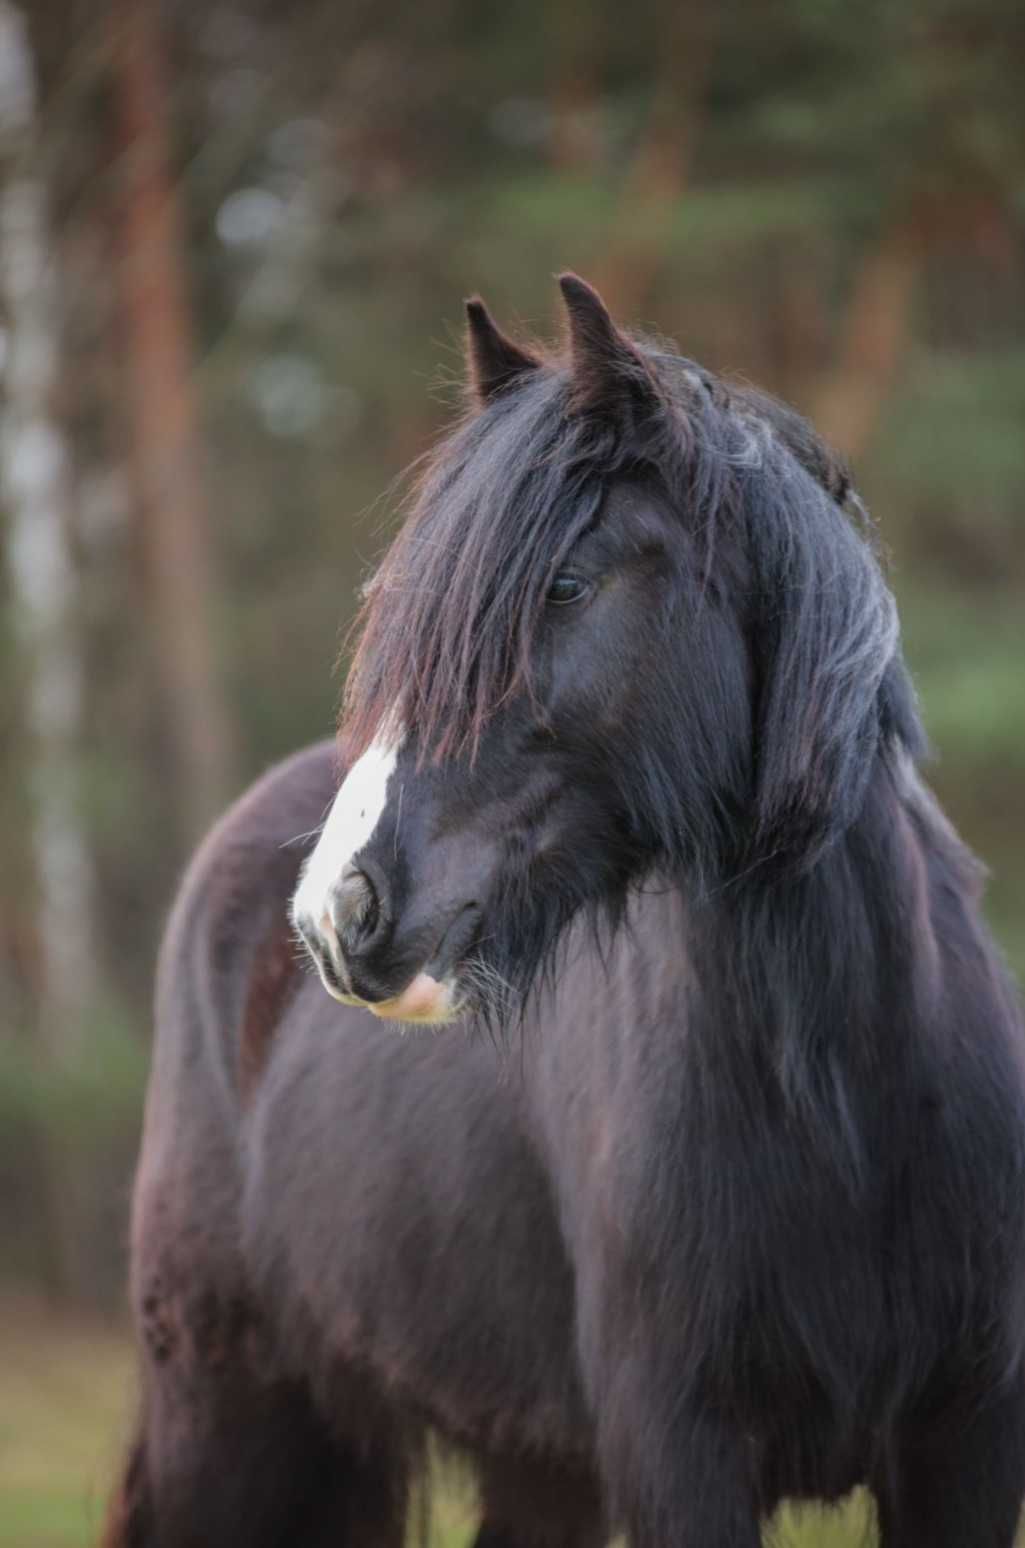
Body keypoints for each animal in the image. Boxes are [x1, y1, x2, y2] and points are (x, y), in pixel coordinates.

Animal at [106, 278, 1025, 1548]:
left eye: (566, 584)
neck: (844, 1098)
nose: (340, 912)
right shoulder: (675, 1456)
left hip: (532, 1469)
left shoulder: (964, 1445)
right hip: (225, 1419)